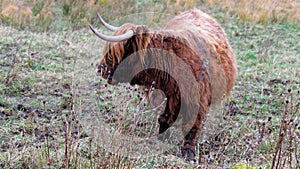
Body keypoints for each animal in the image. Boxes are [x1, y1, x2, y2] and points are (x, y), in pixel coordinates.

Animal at [89, 8, 237, 161]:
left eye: (118, 53)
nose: (100, 69)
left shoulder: (197, 99)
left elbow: (192, 126)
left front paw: (188, 152)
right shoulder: (160, 95)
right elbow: (163, 118)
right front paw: (162, 137)